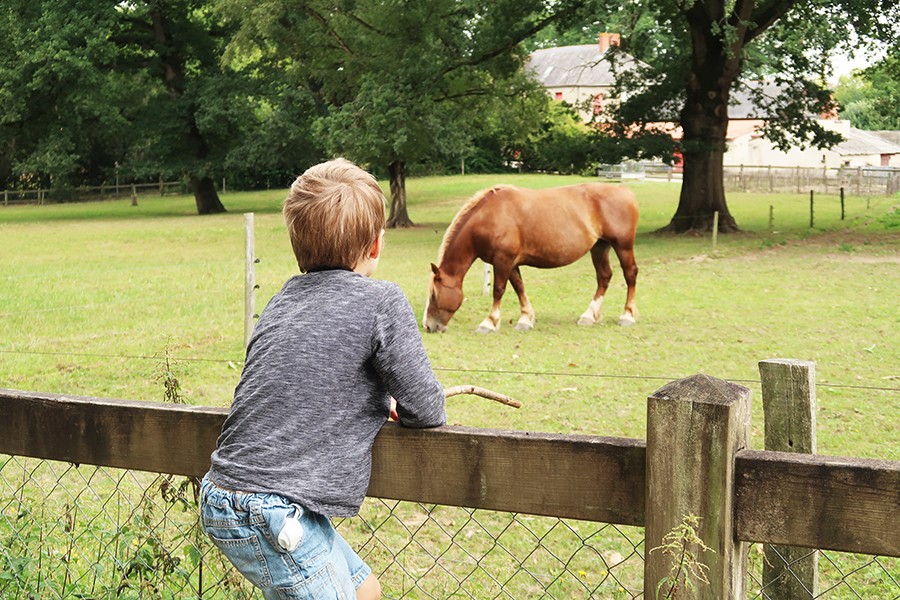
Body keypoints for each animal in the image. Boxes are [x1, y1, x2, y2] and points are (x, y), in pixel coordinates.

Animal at [424, 183, 640, 332]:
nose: (428, 326)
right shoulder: (510, 263)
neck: (489, 217)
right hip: (599, 247)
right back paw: (588, 316)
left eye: (434, 295)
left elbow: (498, 290)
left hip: (623, 246)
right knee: (604, 277)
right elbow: (519, 287)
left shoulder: (503, 260)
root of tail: (626, 191)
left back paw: (627, 316)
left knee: (630, 274)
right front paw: (525, 319)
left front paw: (489, 323)